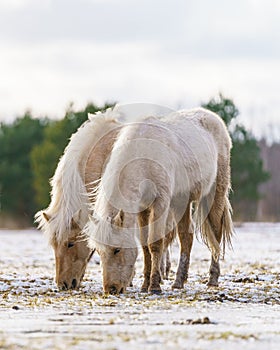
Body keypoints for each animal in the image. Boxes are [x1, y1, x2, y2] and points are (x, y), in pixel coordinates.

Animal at [84, 108, 233, 294]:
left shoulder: (160, 202)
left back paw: (213, 278)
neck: (143, 157)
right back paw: (179, 281)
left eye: (117, 250)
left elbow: (155, 243)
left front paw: (154, 286)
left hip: (215, 193)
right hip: (182, 201)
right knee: (186, 236)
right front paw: (145, 284)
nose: (111, 289)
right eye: (98, 251)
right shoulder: (142, 208)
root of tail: (213, 117)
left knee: (216, 233)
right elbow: (144, 246)